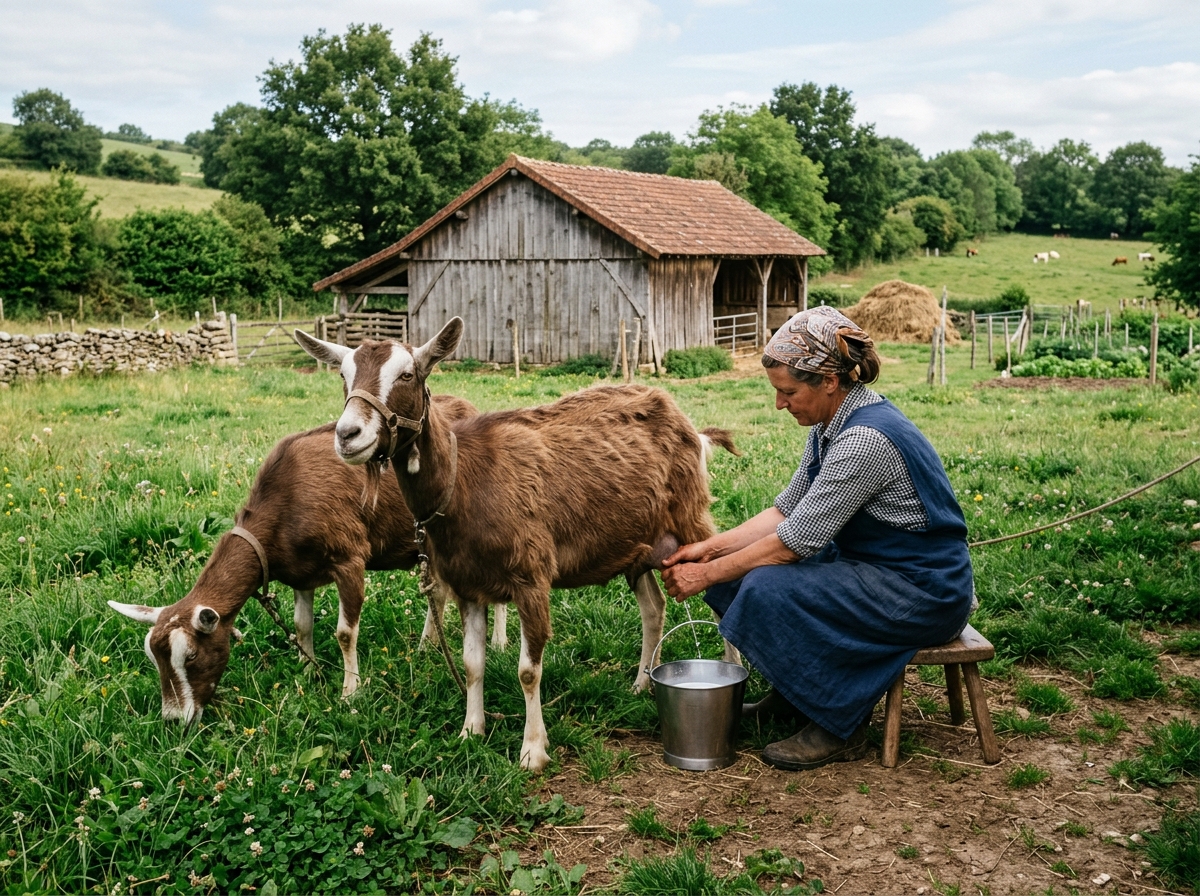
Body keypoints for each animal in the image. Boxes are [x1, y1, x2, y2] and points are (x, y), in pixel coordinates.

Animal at [107, 396, 500, 723]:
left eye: (189, 656)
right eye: (152, 658)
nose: (175, 720)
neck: (284, 503)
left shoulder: (349, 559)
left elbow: (345, 633)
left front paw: (350, 692)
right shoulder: (300, 574)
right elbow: (301, 626)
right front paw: (307, 669)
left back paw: (497, 642)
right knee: (438, 593)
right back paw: (426, 646)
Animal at [296, 319, 737, 771]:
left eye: (407, 375)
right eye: (343, 375)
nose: (348, 435)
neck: (464, 481)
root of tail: (692, 428)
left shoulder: (532, 578)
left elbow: (528, 671)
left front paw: (532, 751)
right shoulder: (468, 585)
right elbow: (472, 664)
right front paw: (470, 732)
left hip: (692, 520)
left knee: (724, 594)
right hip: (639, 546)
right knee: (654, 608)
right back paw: (640, 683)